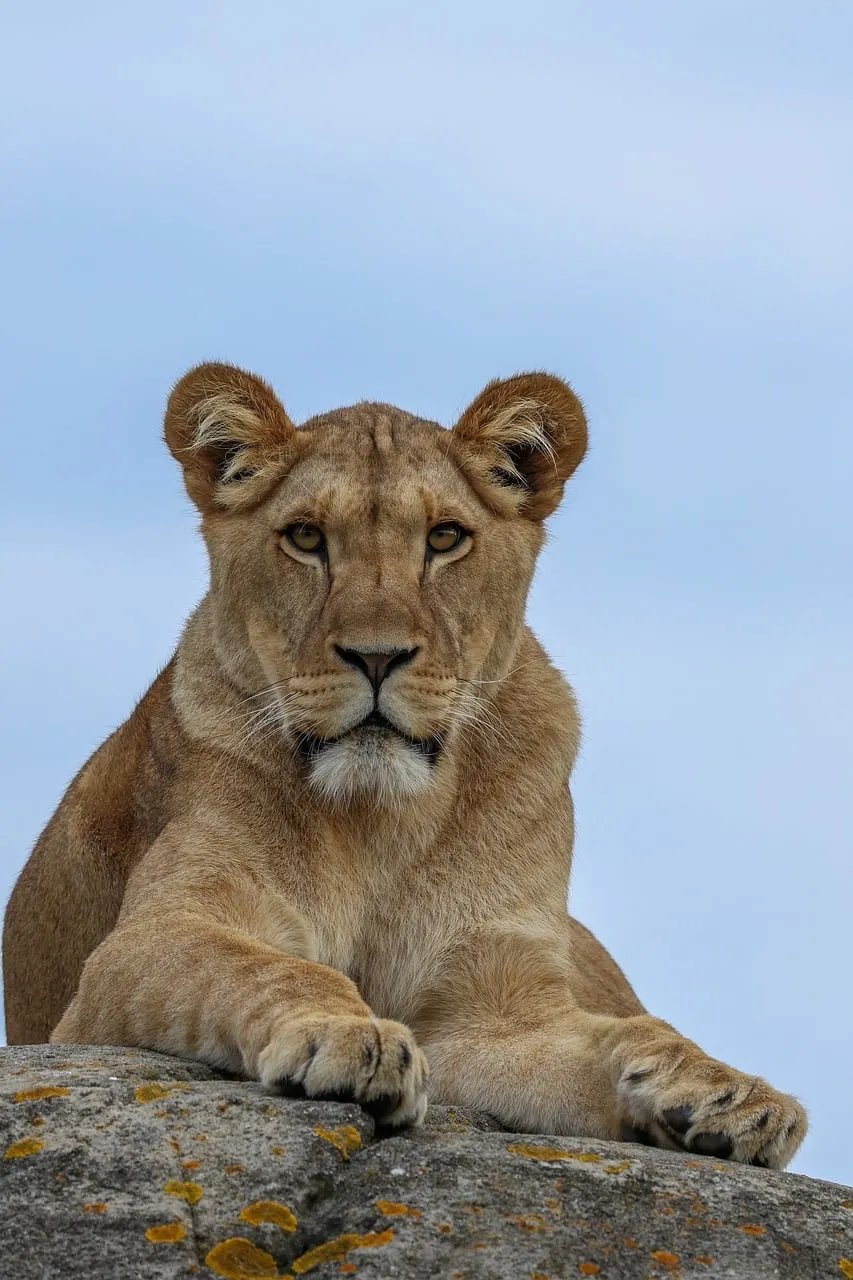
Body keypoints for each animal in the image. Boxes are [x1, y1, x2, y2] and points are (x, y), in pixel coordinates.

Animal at [3, 362, 806, 1168]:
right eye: (305, 537)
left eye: (445, 538)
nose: (377, 656)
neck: (381, 821)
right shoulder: (137, 949)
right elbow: (270, 964)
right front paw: (347, 1034)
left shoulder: (492, 1013)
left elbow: (617, 1037)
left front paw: (729, 1095)